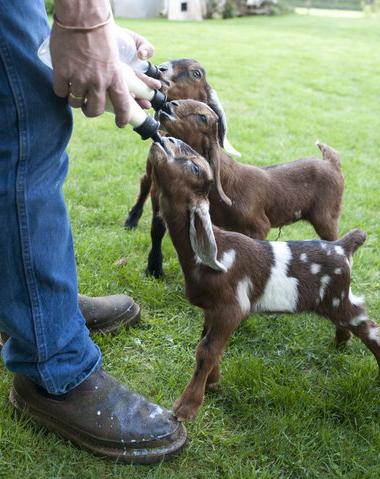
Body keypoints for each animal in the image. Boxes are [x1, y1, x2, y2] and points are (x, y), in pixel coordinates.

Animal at [149, 137, 378, 422]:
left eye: (195, 167)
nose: (165, 139)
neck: (215, 252)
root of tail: (343, 247)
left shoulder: (232, 306)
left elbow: (206, 350)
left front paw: (186, 408)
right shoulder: (212, 309)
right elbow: (211, 344)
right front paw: (213, 382)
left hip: (339, 298)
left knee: (370, 327)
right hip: (338, 300)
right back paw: (340, 342)